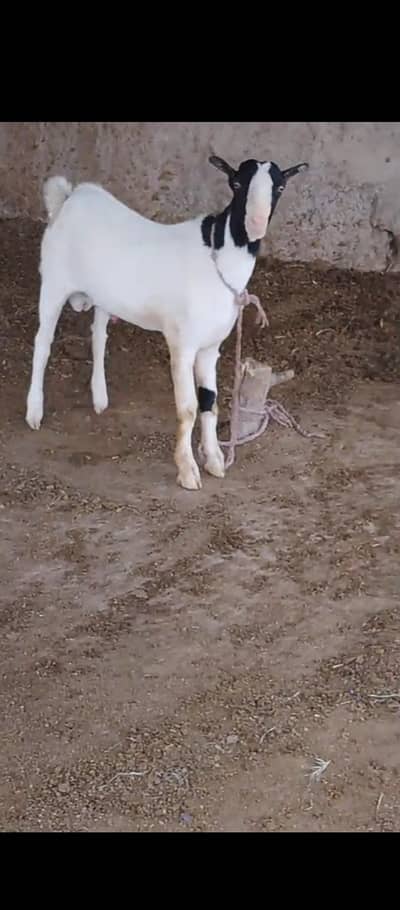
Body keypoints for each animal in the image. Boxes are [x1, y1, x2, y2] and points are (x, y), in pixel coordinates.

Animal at [26, 155, 308, 490]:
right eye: (237, 183)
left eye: (280, 187)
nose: (254, 225)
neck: (216, 256)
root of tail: (69, 197)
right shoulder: (182, 343)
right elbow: (187, 409)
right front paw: (187, 471)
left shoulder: (211, 347)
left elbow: (210, 402)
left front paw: (215, 460)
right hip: (53, 284)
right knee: (43, 344)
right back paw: (34, 411)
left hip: (104, 296)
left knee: (98, 337)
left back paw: (100, 398)